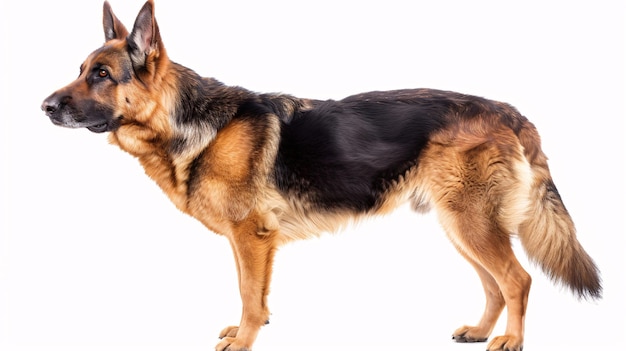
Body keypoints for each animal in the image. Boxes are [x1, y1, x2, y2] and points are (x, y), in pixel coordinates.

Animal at [42, 1, 600, 350]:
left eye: (102, 75)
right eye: (81, 70)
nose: (44, 106)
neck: (187, 121)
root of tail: (511, 113)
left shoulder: (252, 238)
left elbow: (250, 296)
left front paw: (244, 342)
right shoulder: (247, 243)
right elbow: (252, 294)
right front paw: (247, 332)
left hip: (471, 224)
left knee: (518, 280)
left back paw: (512, 340)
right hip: (461, 225)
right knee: (495, 285)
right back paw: (481, 332)